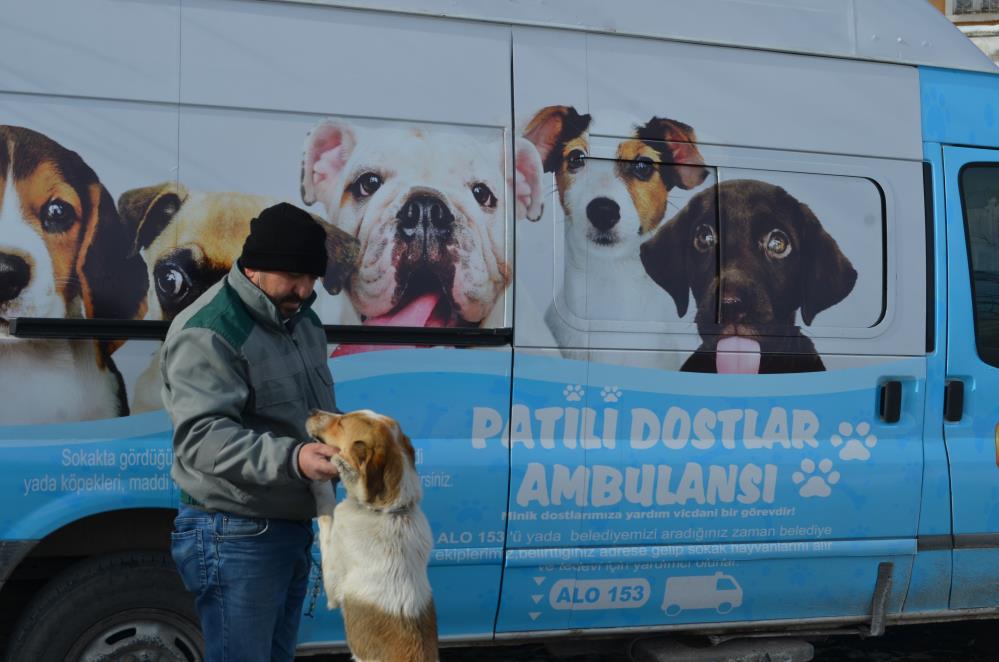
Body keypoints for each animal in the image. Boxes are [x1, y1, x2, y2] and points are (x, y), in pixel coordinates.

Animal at [304, 410, 438, 662]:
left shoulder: (333, 583)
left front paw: (316, 477)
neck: (389, 512)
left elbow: (327, 511)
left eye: (341, 422)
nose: (311, 411)